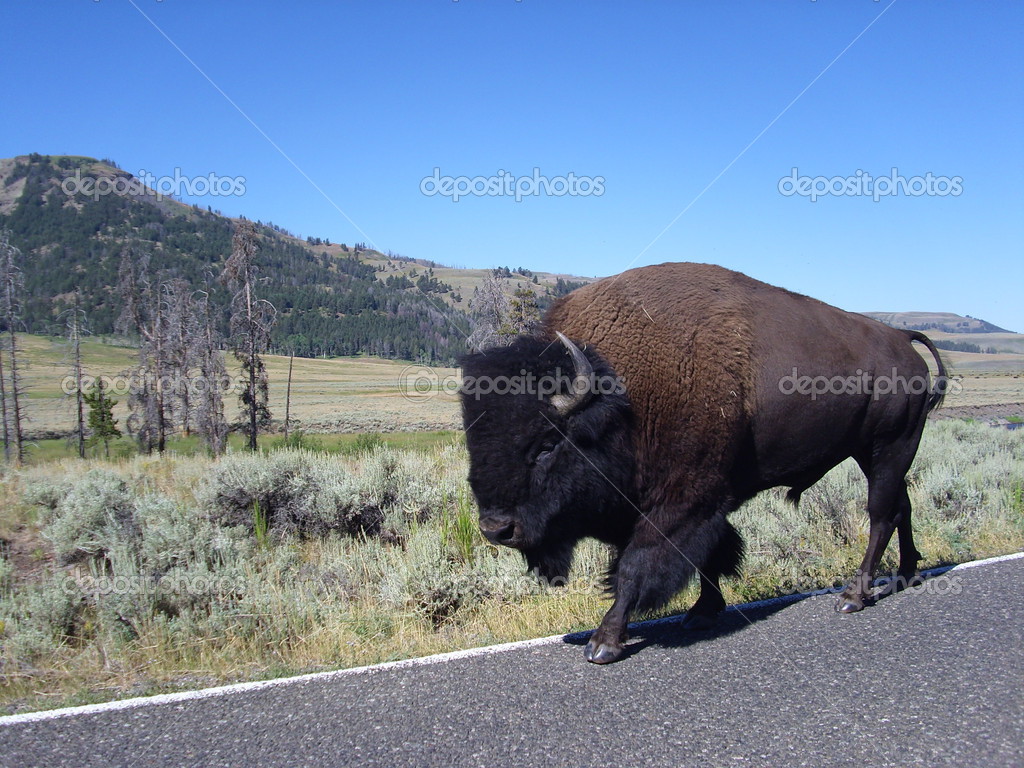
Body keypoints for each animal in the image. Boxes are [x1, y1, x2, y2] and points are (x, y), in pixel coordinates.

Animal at [460, 262, 946, 663]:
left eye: (545, 445)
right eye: (474, 440)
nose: (496, 529)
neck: (622, 400)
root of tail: (902, 340)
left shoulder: (683, 500)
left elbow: (638, 565)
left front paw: (604, 643)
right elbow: (711, 554)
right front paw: (703, 612)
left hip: (889, 447)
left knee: (880, 515)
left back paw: (853, 596)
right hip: (879, 455)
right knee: (901, 506)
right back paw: (906, 575)